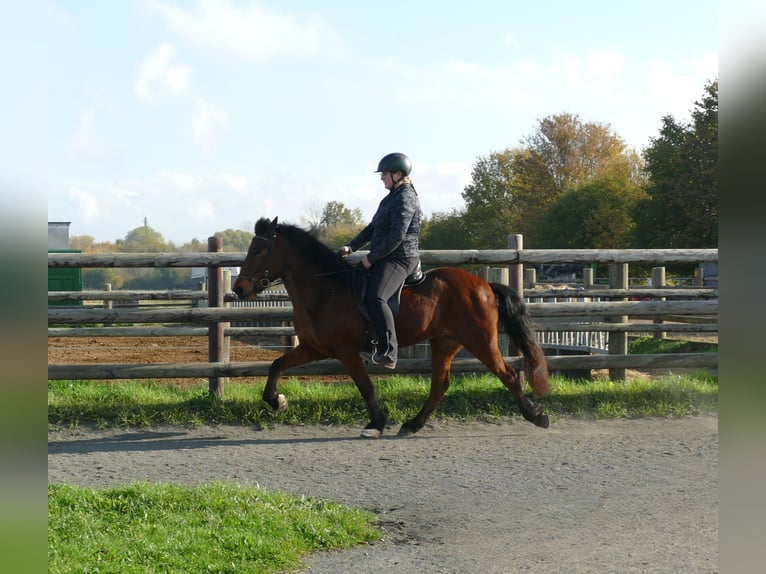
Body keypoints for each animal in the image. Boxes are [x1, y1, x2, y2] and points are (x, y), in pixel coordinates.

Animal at [234, 218, 552, 438]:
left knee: (507, 374)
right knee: (440, 384)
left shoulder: (346, 352)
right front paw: (277, 401)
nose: (239, 289)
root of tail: (484, 284)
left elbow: (365, 387)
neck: (327, 290)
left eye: (259, 250)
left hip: (480, 340)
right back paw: (413, 424)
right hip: (445, 342)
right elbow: (276, 365)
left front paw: (376, 423)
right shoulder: (314, 349)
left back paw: (537, 415)